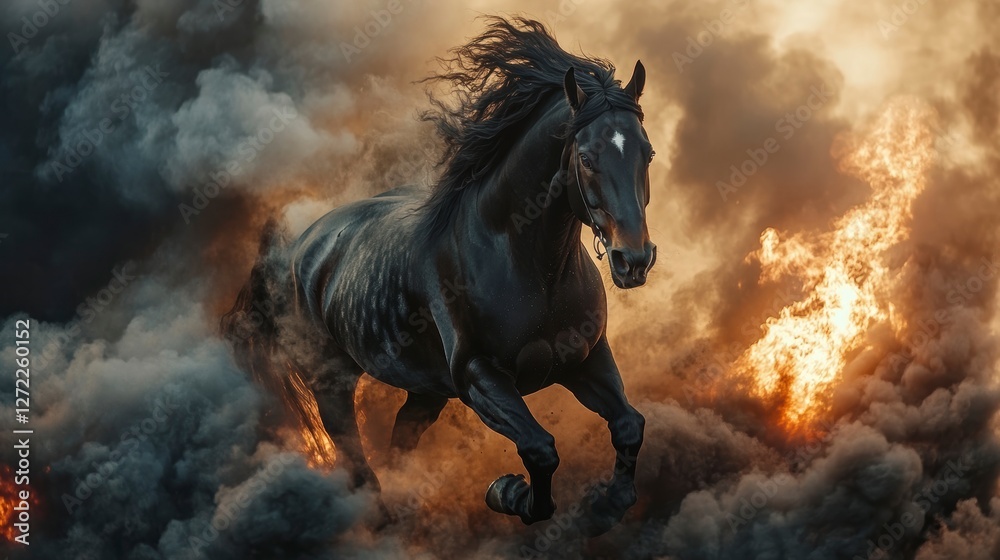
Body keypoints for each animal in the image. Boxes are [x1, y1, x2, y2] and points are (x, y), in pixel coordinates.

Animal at [222, 17, 657, 535]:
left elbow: (629, 425)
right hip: (333, 383)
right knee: (356, 457)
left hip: (425, 391)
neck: (529, 266)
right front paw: (506, 492)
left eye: (648, 153)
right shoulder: (478, 378)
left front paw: (605, 507)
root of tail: (297, 249)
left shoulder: (585, 359)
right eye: (587, 158)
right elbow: (541, 450)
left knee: (400, 445)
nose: (634, 260)